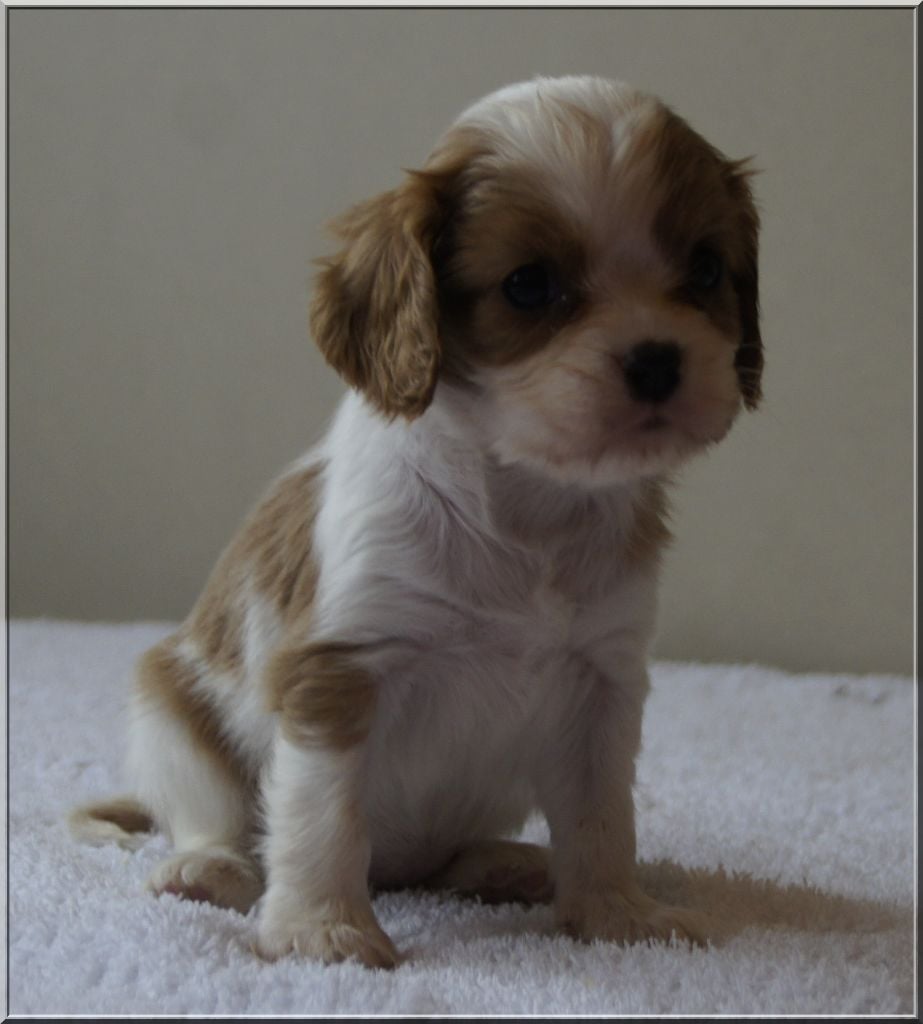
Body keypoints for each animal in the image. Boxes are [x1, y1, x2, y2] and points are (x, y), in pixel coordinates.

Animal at [70, 75, 762, 968]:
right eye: (529, 285)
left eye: (706, 269)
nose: (655, 360)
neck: (527, 504)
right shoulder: (338, 671)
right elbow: (323, 817)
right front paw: (321, 929)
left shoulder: (601, 684)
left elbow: (603, 821)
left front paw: (615, 915)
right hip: (169, 709)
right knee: (208, 815)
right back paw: (209, 868)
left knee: (442, 860)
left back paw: (502, 864)